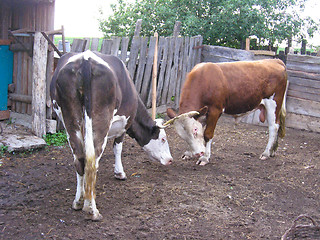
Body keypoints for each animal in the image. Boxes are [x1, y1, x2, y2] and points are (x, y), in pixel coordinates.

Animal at [50, 49, 172, 220]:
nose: (170, 159)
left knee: (80, 159)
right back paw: (91, 209)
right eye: (163, 139)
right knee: (93, 160)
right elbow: (118, 148)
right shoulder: (123, 125)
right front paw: (120, 173)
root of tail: (86, 60)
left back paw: (78, 202)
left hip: (69, 120)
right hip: (100, 121)